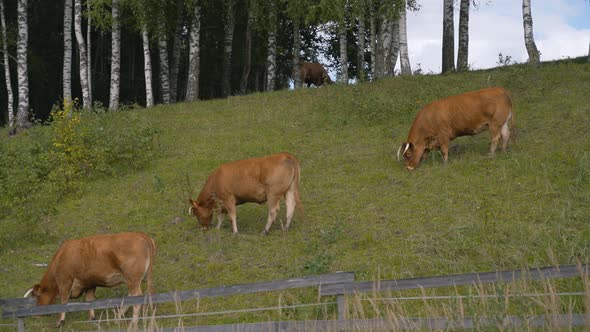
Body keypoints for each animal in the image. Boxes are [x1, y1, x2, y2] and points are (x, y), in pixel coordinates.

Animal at [24, 232, 156, 328]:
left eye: (36, 295)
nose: (35, 316)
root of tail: (141, 235)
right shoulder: (89, 283)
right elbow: (89, 300)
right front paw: (92, 319)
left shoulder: (65, 281)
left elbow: (63, 300)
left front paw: (60, 322)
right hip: (134, 280)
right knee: (132, 296)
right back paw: (118, 317)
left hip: (132, 279)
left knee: (137, 297)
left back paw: (133, 322)